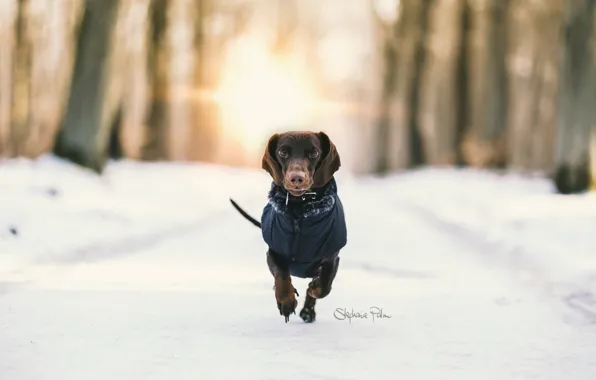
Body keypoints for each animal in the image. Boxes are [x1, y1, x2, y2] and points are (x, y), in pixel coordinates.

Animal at [230, 131, 346, 324]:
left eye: (313, 153)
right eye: (283, 152)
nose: (296, 178)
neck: (300, 211)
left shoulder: (332, 257)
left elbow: (324, 286)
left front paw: (313, 288)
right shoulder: (273, 253)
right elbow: (282, 275)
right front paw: (286, 301)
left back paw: (308, 311)